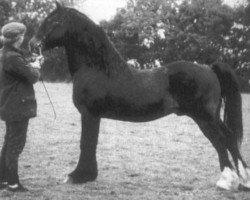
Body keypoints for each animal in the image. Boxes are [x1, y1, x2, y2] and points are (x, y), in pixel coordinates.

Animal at [29, 2, 250, 191]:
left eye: (53, 22)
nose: (32, 44)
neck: (97, 69)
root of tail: (209, 68)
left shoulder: (89, 114)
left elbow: (86, 143)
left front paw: (77, 176)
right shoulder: (93, 115)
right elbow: (90, 143)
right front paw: (86, 175)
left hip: (204, 117)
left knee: (221, 141)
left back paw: (227, 182)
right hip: (212, 116)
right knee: (230, 139)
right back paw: (243, 181)